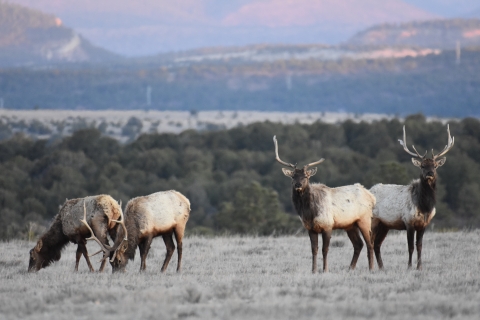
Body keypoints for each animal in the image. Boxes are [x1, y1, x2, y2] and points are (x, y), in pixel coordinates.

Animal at [274, 135, 376, 272]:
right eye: (293, 176)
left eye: (306, 176)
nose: (298, 185)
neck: (310, 212)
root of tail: (371, 196)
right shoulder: (310, 228)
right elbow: (314, 250)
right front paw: (313, 270)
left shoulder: (328, 225)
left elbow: (325, 249)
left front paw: (325, 270)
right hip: (350, 224)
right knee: (358, 244)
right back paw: (350, 268)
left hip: (364, 219)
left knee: (370, 243)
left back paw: (371, 269)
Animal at [370, 125, 456, 270]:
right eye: (422, 165)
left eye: (435, 165)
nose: (430, 173)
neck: (424, 206)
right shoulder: (408, 221)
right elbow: (410, 247)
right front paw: (409, 266)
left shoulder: (424, 224)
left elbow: (419, 246)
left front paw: (419, 267)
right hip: (373, 220)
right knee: (370, 242)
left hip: (384, 225)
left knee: (377, 244)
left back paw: (382, 267)